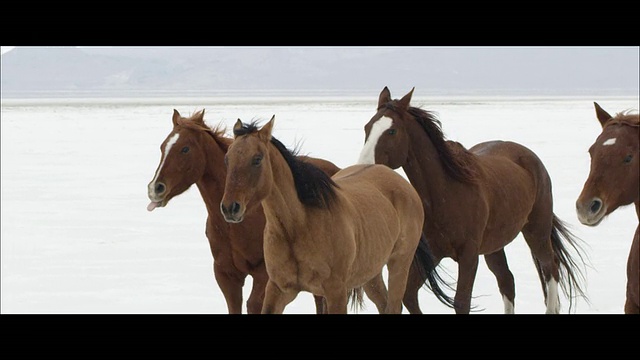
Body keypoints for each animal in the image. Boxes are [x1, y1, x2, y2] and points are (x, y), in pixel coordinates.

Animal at [148, 108, 342, 314]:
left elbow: (253, 304)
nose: (155, 188)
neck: (237, 225)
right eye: (162, 147)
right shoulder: (226, 275)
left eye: (185, 149)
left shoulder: (263, 274)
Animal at [220, 116, 456, 314]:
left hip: (399, 264)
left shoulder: (335, 292)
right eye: (227, 158)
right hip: (370, 274)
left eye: (257, 159)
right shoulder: (279, 289)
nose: (230, 208)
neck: (298, 226)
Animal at [358, 86, 588, 312]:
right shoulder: (435, 253)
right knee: (507, 280)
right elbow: (408, 295)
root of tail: (529, 157)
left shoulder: (469, 256)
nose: (363, 167)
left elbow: (462, 301)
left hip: (537, 231)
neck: (448, 191)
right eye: (367, 127)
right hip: (495, 246)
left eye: (392, 130)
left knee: (551, 268)